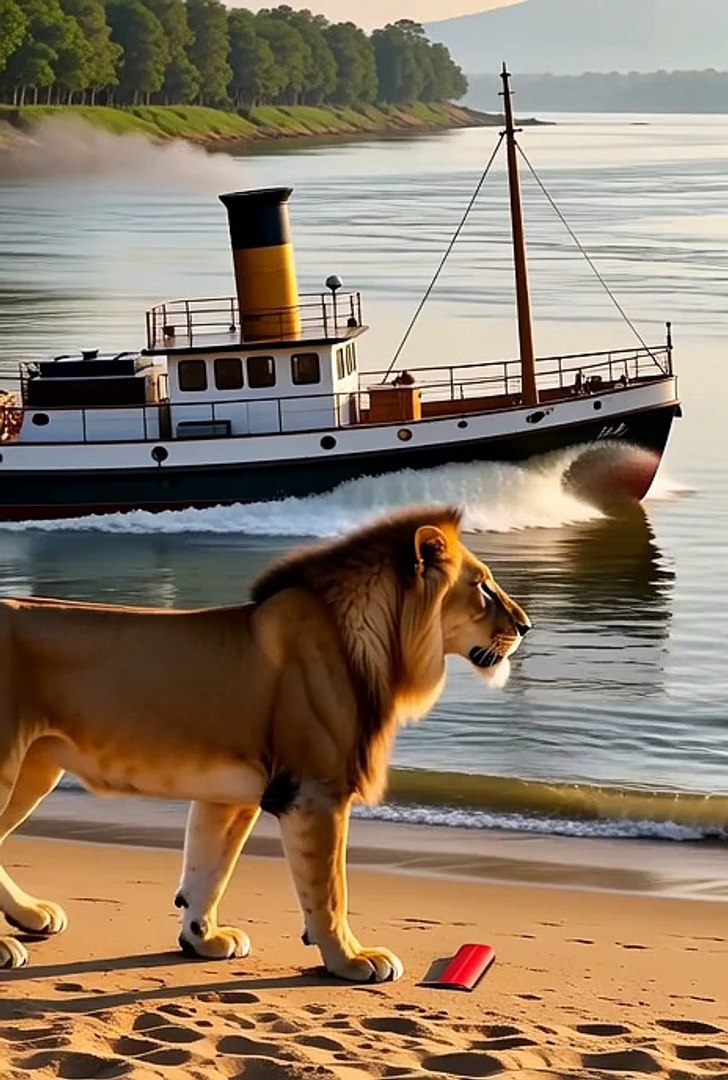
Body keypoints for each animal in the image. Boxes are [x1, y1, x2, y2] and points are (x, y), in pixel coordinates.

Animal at [0, 505, 530, 981]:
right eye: (483, 586)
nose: (525, 626)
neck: (371, 640)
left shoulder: (230, 794)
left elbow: (208, 870)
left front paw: (203, 939)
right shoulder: (316, 791)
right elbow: (329, 890)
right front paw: (350, 959)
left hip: (35, 769)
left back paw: (29, 916)